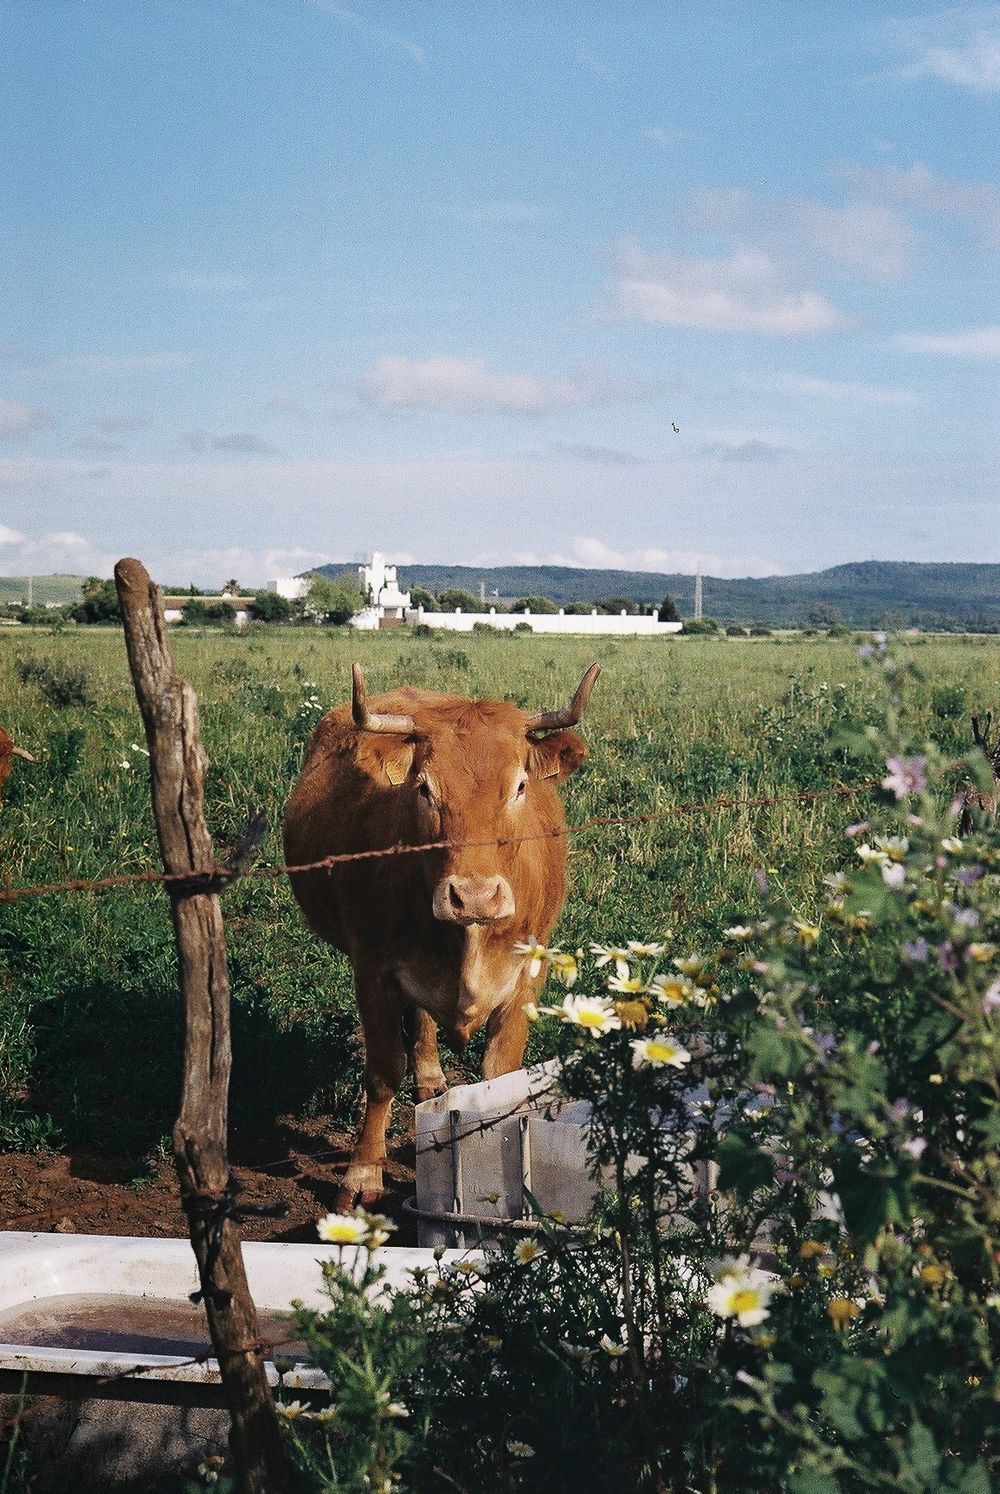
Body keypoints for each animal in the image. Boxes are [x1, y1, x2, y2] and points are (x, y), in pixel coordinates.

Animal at [283, 661, 599, 1206]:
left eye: (520, 786)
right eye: (424, 788)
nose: (474, 896)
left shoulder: (527, 974)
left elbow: (500, 1078)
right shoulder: (373, 971)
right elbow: (383, 1072)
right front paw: (363, 1175)